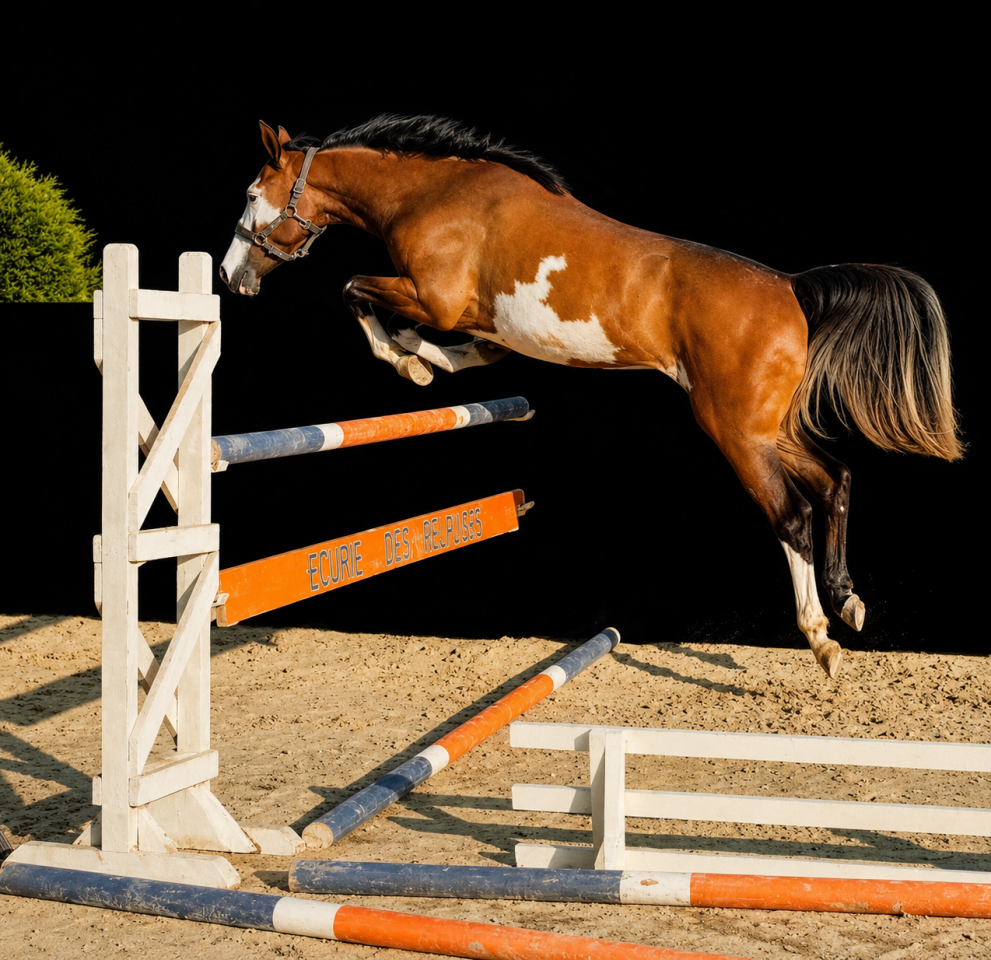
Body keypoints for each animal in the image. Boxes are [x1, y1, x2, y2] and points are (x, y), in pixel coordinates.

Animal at [219, 116, 962, 679]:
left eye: (252, 194)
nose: (230, 278)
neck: (432, 194)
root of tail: (790, 287)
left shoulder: (435, 298)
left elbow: (356, 293)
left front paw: (412, 365)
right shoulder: (476, 319)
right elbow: (473, 349)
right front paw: (429, 364)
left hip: (734, 432)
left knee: (791, 514)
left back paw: (820, 636)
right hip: (765, 428)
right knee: (834, 479)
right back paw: (848, 601)